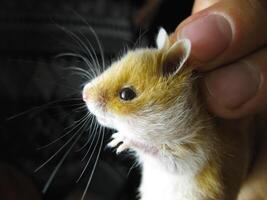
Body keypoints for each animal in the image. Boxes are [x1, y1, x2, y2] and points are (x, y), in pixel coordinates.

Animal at [82, 28, 254, 200]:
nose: (84, 93)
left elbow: (155, 151)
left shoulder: (190, 155)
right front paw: (115, 139)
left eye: (126, 94)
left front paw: (119, 141)